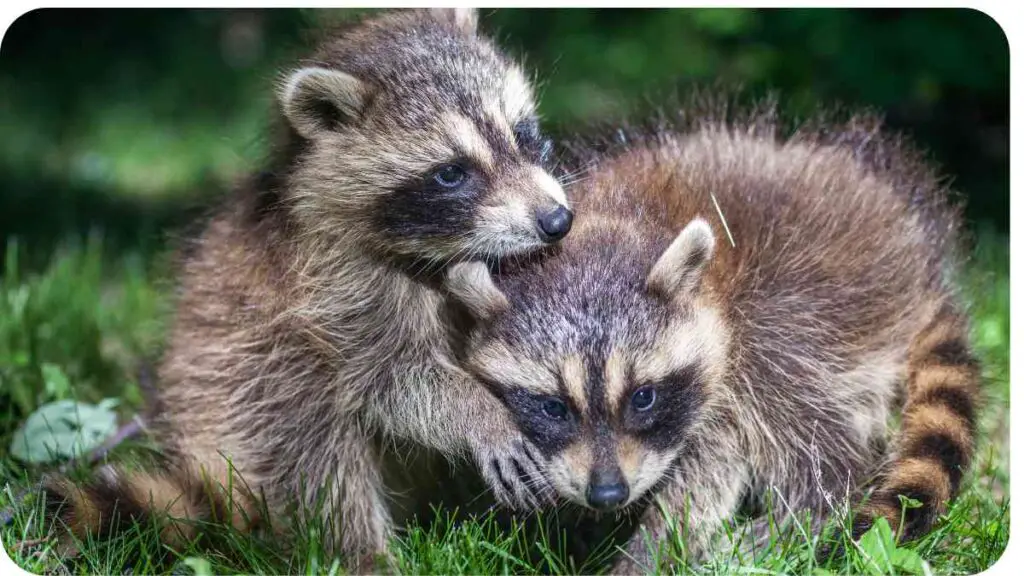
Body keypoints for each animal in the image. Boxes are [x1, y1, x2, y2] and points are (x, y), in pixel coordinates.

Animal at [44, 7, 569, 569]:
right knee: (311, 441)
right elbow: (390, 380)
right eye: (451, 173)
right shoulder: (334, 285)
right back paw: (364, 554)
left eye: (523, 133)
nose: (557, 220)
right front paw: (480, 412)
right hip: (241, 394)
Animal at [448, 106, 983, 569]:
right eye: (552, 407)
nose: (608, 494)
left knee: (805, 417)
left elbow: (711, 469)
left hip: (815, 297)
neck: (612, 223)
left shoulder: (727, 350)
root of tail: (923, 263)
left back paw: (810, 510)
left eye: (643, 397)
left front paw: (652, 548)